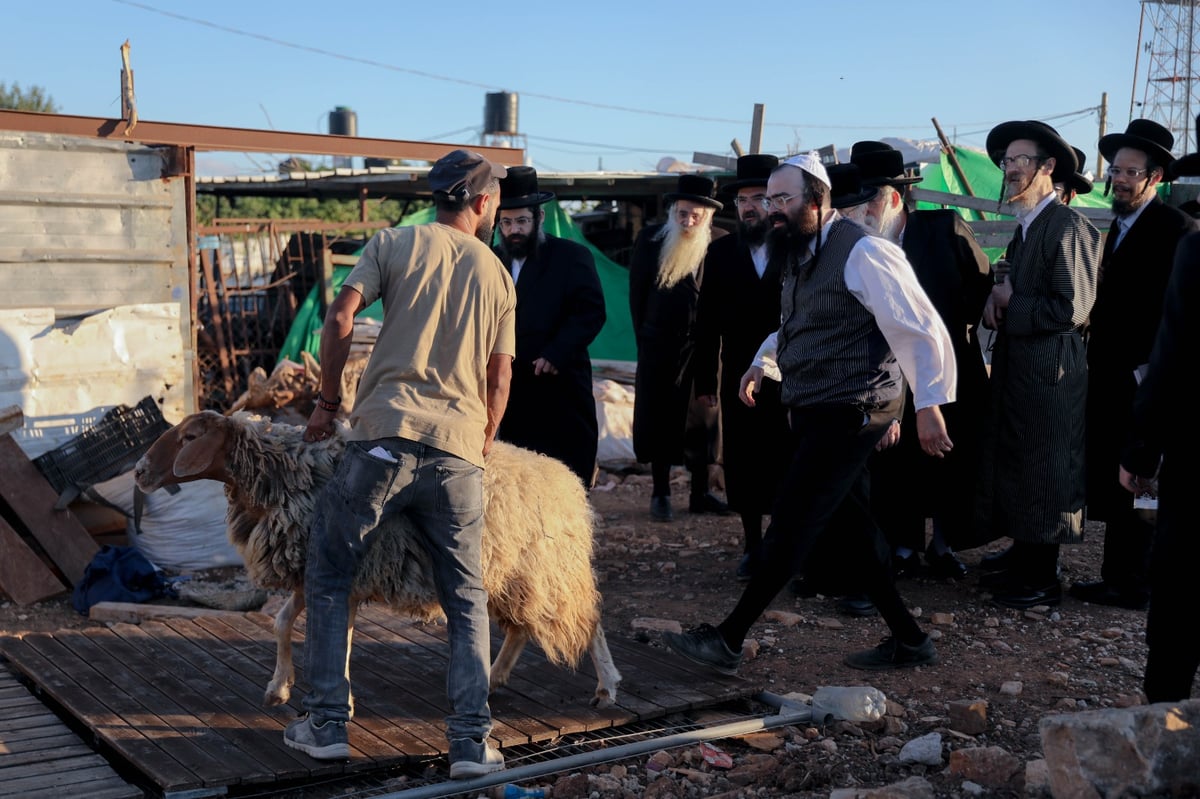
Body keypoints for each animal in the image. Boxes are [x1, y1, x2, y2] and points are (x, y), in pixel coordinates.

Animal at [136, 407, 624, 705]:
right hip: (511, 575)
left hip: (551, 568)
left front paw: (338, 697)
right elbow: (281, 623)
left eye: (190, 436)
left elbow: (338, 638)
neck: (288, 476)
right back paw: (495, 677)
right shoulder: (312, 571)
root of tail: (565, 477)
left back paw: (607, 687)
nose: (140, 472)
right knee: (522, 628)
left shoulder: (346, 574)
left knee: (590, 620)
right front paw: (279, 687)